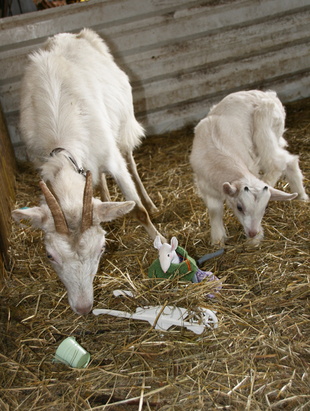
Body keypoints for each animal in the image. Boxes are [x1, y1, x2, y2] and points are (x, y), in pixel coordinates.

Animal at [11, 29, 163, 316]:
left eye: (102, 249)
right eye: (50, 255)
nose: (83, 307)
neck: (62, 145)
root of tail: (76, 34)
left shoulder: (112, 157)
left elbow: (138, 210)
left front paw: (163, 243)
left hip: (123, 123)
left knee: (130, 159)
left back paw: (150, 201)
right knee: (98, 177)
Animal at [190, 90, 308, 245]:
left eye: (265, 207)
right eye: (239, 207)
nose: (253, 233)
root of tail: (269, 94)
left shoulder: (250, 167)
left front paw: (255, 241)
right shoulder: (205, 187)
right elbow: (215, 211)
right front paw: (217, 240)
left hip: (264, 124)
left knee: (277, 162)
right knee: (288, 160)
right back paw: (301, 195)